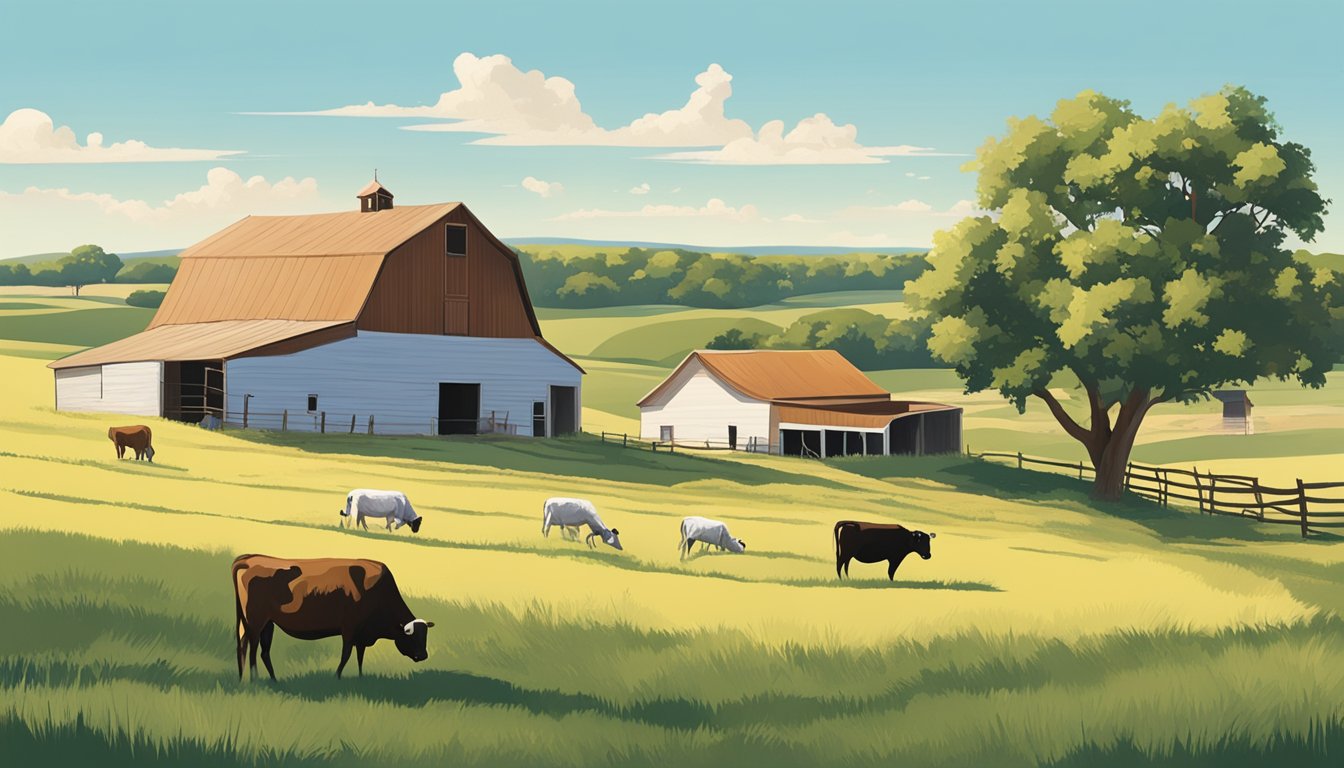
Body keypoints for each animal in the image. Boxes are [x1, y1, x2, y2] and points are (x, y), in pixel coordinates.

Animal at [231, 554, 435, 677]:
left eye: (425, 636)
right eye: (411, 636)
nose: (423, 655)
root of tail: (250, 558)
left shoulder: (362, 634)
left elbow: (360, 656)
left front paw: (360, 677)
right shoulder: (350, 628)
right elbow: (346, 655)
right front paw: (337, 677)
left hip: (266, 623)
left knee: (258, 650)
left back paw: (266, 681)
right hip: (255, 622)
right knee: (252, 649)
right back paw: (255, 680)